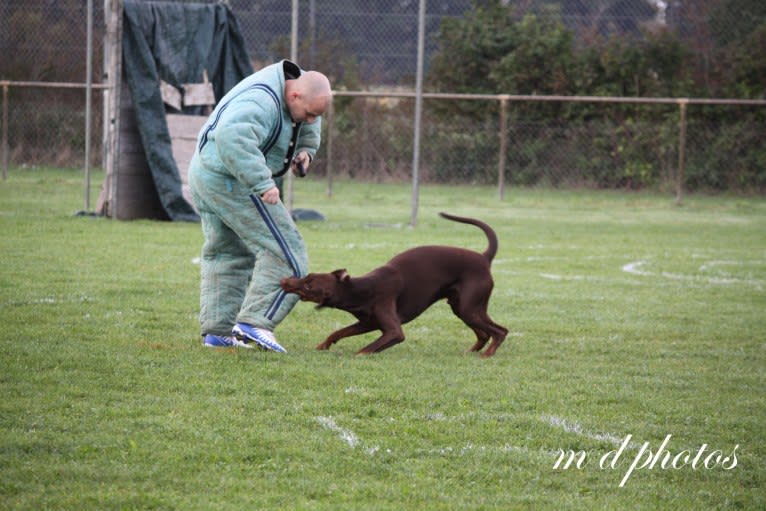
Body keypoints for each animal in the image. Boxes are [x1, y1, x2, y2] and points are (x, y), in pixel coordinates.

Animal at [282, 212, 510, 356]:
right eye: (306, 276)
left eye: (309, 286)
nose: (284, 280)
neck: (361, 290)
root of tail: (483, 258)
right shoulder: (367, 323)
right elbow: (337, 332)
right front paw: (323, 345)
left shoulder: (393, 331)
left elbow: (364, 350)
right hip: (463, 308)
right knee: (484, 333)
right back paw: (471, 352)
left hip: (468, 308)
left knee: (500, 331)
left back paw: (487, 355)